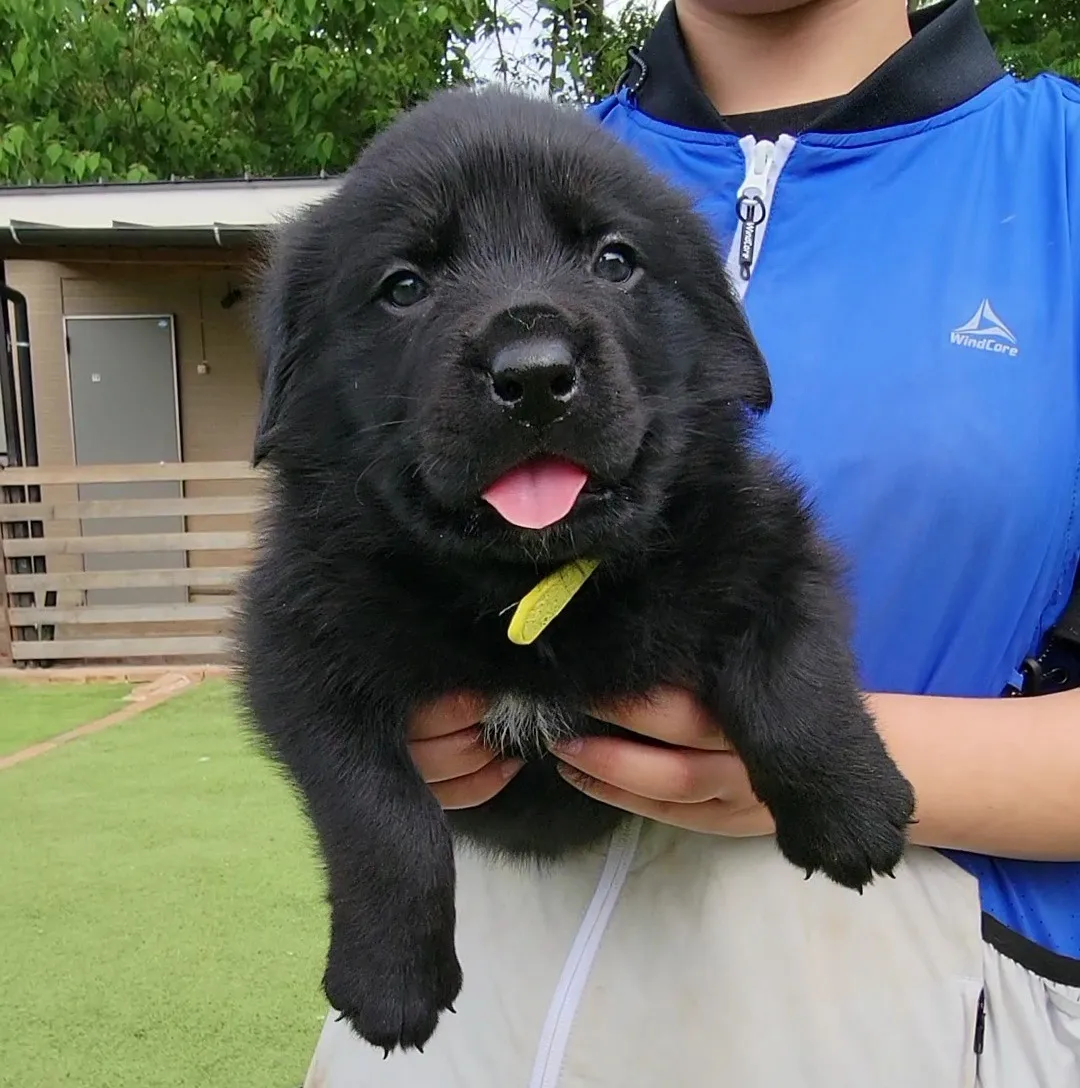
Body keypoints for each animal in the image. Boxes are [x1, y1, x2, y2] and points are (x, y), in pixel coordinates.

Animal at [236, 89, 909, 1057]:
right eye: (404, 286)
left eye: (614, 260)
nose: (534, 376)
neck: (529, 587)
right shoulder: (298, 641)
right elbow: (383, 817)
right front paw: (391, 982)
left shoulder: (768, 541)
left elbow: (794, 677)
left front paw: (851, 810)